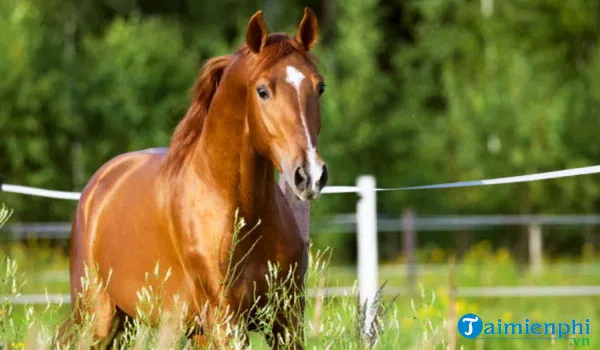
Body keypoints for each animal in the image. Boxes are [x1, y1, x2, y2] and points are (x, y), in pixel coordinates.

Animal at [65, 8, 326, 350]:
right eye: (263, 91)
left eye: (319, 87)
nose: (309, 174)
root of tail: (97, 185)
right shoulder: (226, 322)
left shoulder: (286, 320)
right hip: (98, 320)